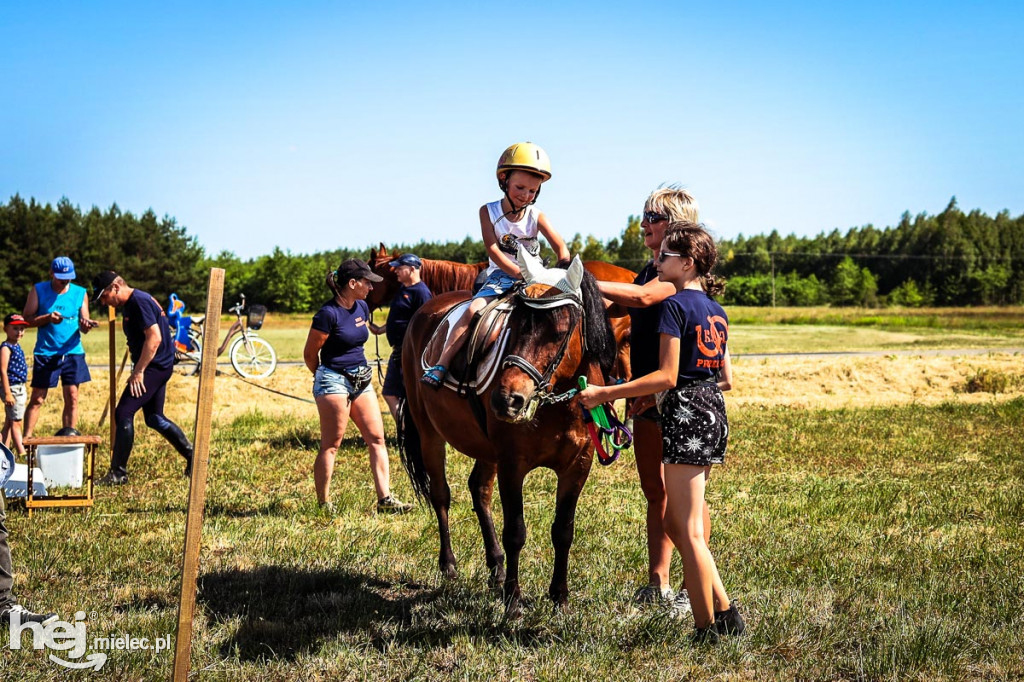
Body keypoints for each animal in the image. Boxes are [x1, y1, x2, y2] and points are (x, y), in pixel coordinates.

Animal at [399, 260, 614, 606]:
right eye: (515, 323)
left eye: (559, 331)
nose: (506, 399)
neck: (556, 405)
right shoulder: (513, 463)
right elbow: (515, 531)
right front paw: (513, 602)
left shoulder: (578, 465)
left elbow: (563, 530)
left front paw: (560, 597)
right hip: (428, 431)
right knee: (441, 494)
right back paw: (449, 564)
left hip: (487, 450)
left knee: (479, 490)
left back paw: (496, 567)